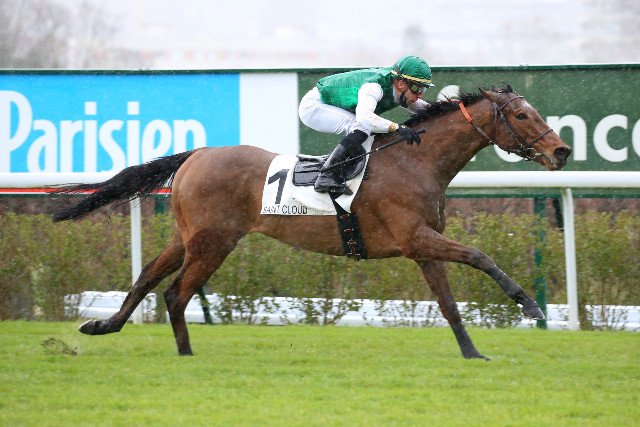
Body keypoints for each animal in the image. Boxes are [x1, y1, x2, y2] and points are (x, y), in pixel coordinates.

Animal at [52, 84, 572, 359]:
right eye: (522, 115)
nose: (562, 151)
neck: (417, 161)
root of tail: (197, 153)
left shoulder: (423, 245)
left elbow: (448, 303)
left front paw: (472, 353)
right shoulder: (415, 237)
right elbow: (480, 257)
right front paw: (530, 306)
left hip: (189, 237)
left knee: (147, 276)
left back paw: (104, 326)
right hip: (214, 242)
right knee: (176, 293)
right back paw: (186, 355)